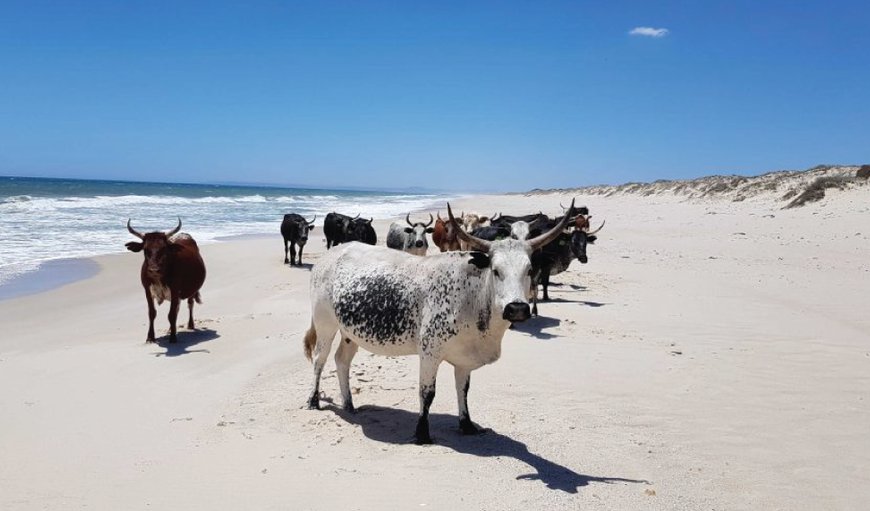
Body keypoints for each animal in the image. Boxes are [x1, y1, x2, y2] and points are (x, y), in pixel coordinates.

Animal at [304, 200, 576, 444]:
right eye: (496, 270)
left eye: (529, 270)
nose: (517, 308)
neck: (473, 298)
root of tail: (330, 255)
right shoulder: (429, 352)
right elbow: (427, 393)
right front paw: (422, 433)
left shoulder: (465, 360)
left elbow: (463, 390)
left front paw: (466, 425)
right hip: (325, 323)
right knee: (319, 359)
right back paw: (313, 400)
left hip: (350, 332)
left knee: (342, 360)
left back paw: (349, 403)